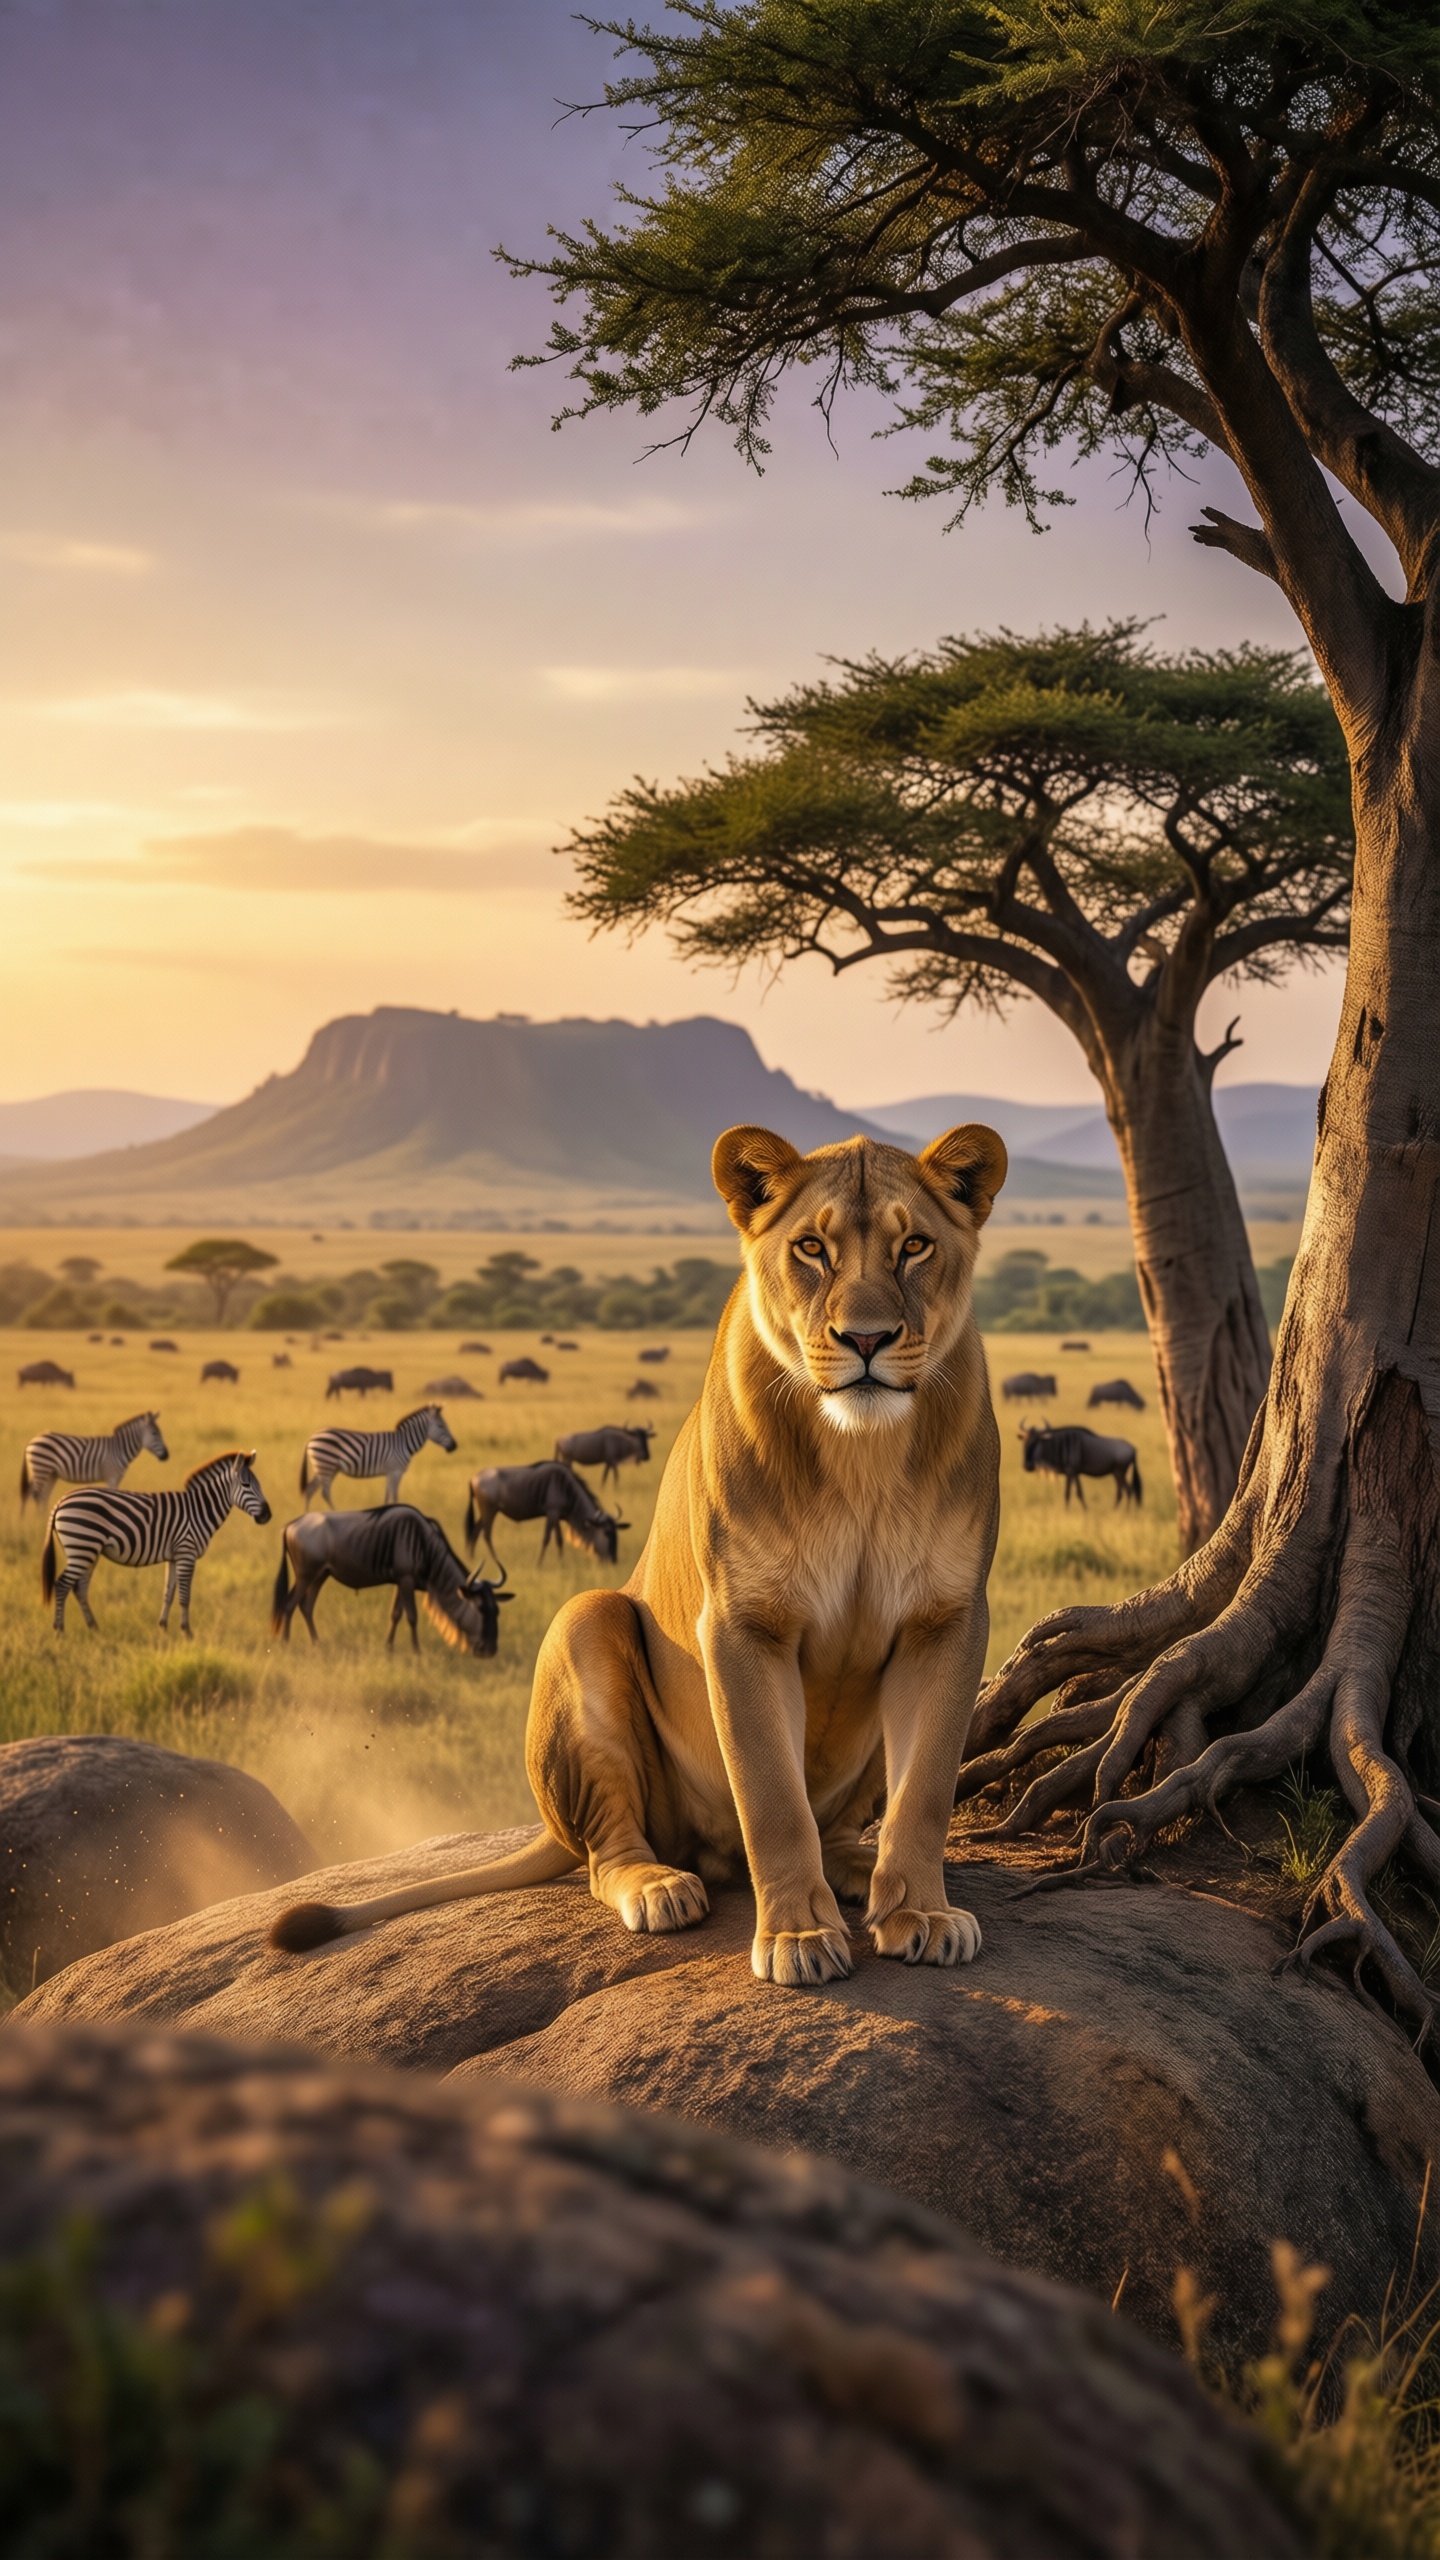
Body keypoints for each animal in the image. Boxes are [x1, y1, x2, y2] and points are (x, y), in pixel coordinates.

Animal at [270, 1118, 1007, 1987]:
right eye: (811, 1249)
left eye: (915, 1246)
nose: (866, 1339)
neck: (860, 1452)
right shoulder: (740, 1623)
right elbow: (772, 1796)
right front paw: (796, 1935)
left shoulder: (947, 1618)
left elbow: (925, 1790)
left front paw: (921, 1913)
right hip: (589, 1622)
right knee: (607, 1849)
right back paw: (660, 1887)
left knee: (834, 1826)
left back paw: (858, 1869)